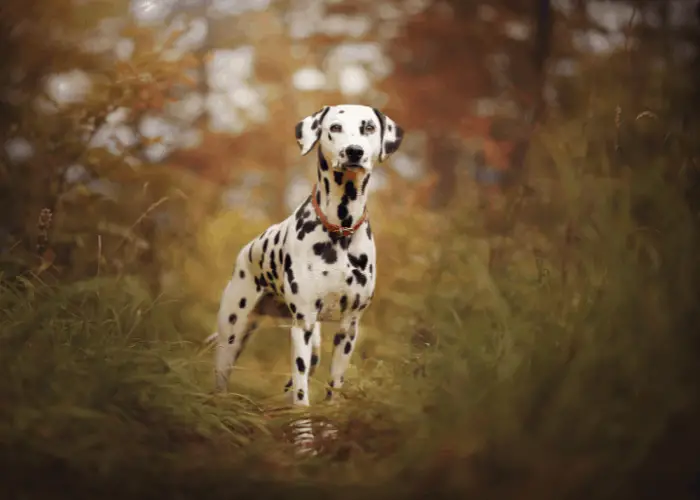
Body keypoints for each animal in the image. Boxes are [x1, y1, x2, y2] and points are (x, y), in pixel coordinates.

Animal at [211, 104, 402, 414]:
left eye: (369, 128)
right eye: (334, 127)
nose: (354, 151)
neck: (340, 229)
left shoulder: (349, 328)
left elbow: (334, 385)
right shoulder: (302, 326)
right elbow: (302, 395)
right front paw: (303, 426)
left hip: (313, 347)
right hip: (232, 333)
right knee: (221, 376)